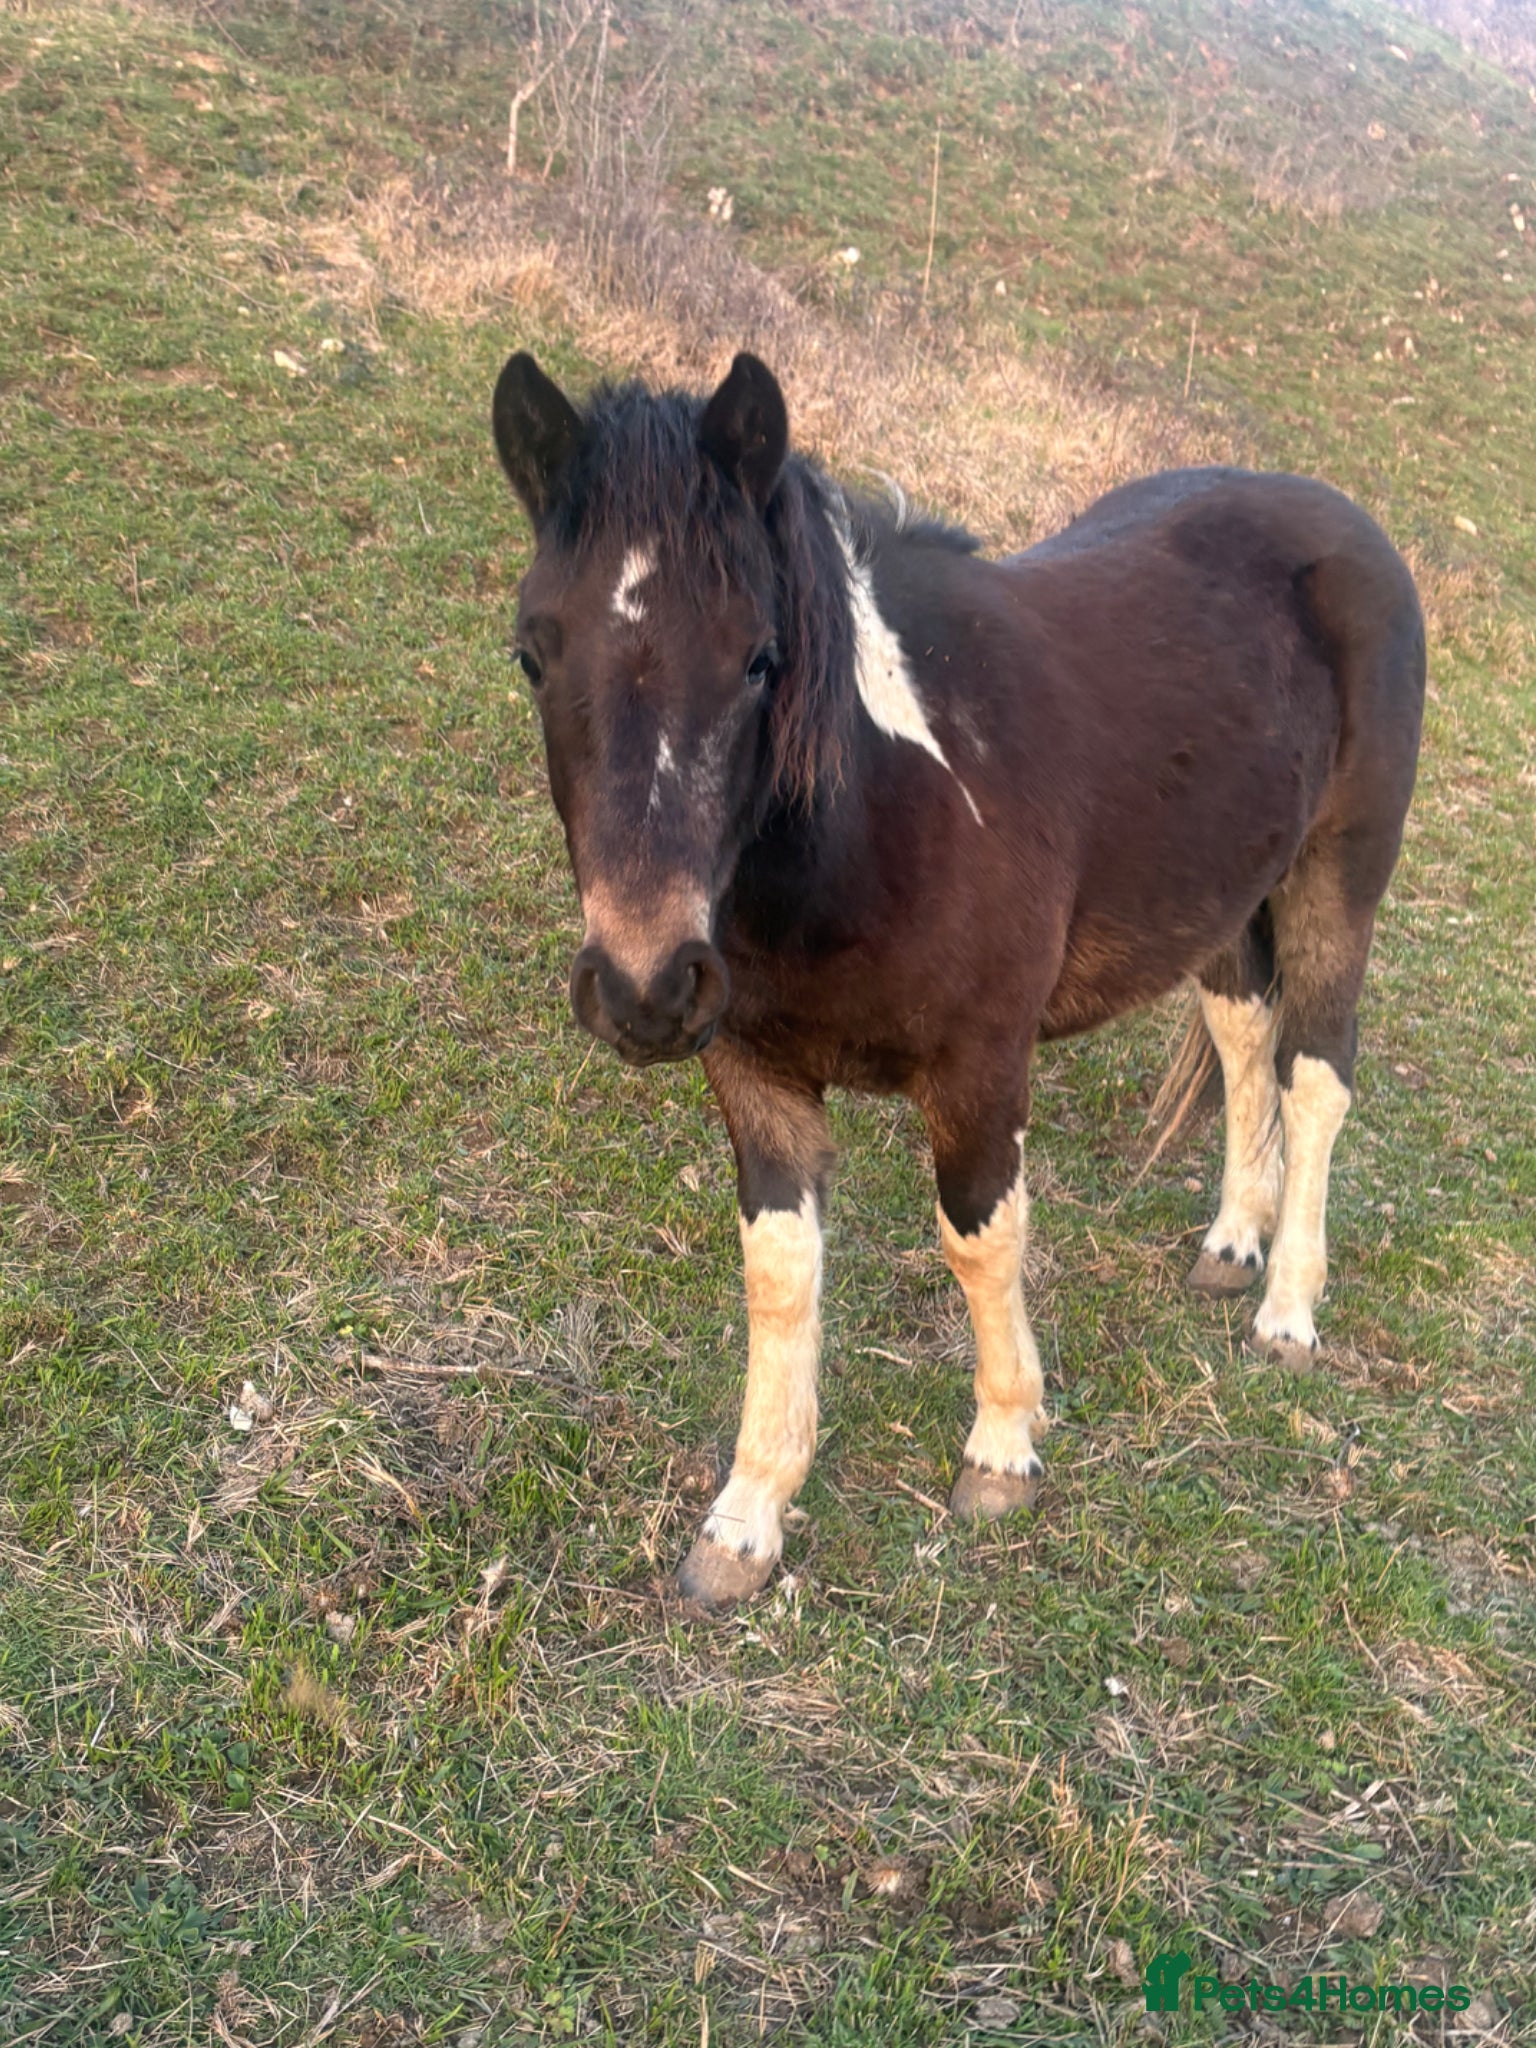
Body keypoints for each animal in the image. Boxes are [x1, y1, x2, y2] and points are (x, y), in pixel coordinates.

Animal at [490, 347, 1425, 1610]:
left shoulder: (982, 1067)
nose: (645, 986)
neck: (879, 813)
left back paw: (1287, 1306)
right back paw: (1234, 1242)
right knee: (1242, 1040)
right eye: (533, 653)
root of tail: (1343, 519)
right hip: (1224, 896)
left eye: (758, 655)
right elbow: (781, 1271)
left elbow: (982, 1238)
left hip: (1338, 874)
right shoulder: (754, 1073)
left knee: (1315, 1074)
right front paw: (748, 1514)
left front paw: (1002, 1447)